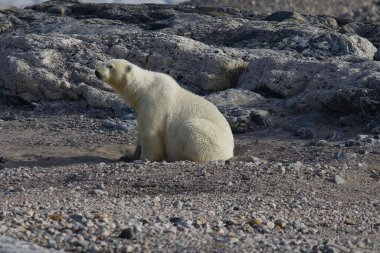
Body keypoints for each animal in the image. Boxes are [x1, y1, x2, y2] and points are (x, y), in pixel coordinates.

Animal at [95, 59, 235, 162]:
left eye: (110, 66)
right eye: (105, 63)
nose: (97, 71)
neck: (144, 88)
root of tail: (230, 152)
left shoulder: (156, 101)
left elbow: (151, 131)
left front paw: (144, 159)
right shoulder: (141, 107)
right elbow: (140, 131)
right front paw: (127, 157)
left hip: (209, 138)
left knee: (190, 129)